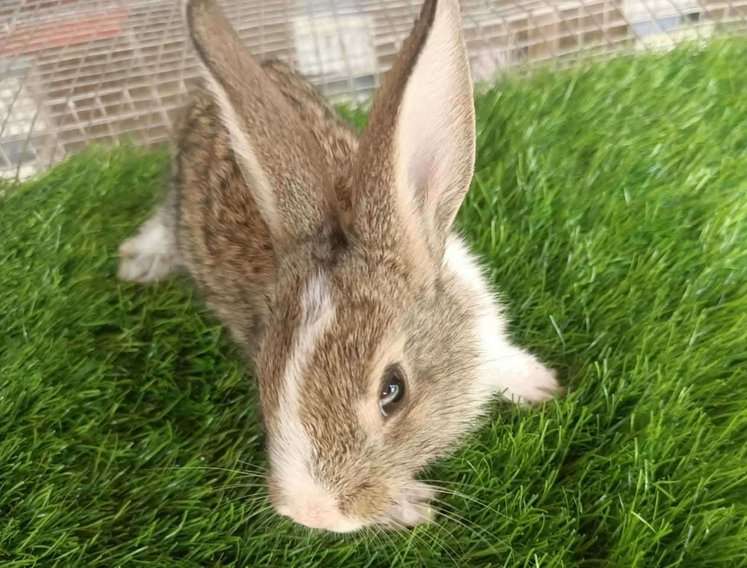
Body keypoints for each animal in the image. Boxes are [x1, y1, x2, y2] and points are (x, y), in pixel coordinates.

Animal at [117, 0, 561, 533]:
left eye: (393, 390)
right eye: (264, 376)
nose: (312, 513)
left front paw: (540, 385)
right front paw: (408, 507)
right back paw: (139, 262)